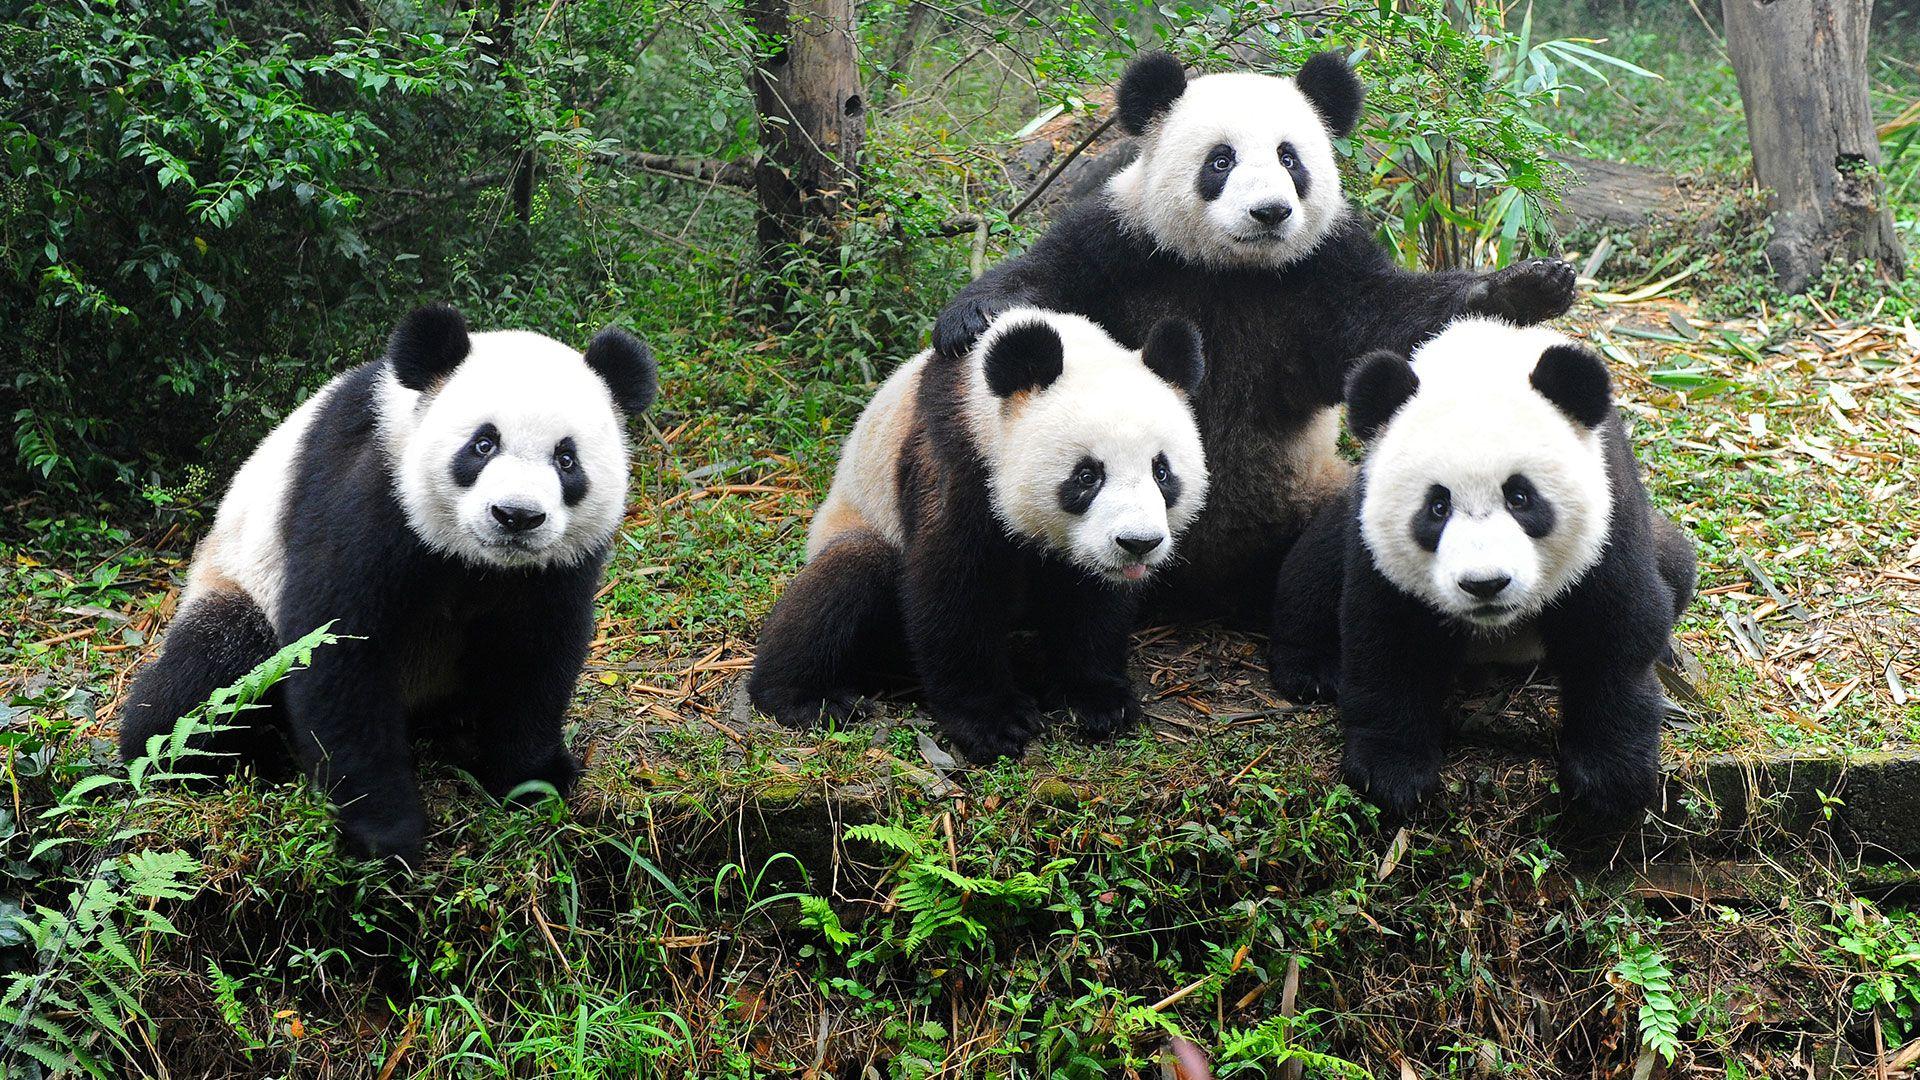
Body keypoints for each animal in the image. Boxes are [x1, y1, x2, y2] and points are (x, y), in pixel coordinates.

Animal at [117, 305, 658, 863]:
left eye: (566, 459)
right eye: (483, 444)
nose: (516, 516)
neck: (478, 560)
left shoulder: (557, 566)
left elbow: (534, 654)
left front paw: (534, 780)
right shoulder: (369, 491)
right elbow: (337, 650)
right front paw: (384, 830)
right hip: (239, 578)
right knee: (212, 673)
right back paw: (214, 756)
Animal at [747, 308, 1209, 763]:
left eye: (1161, 471)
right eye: (1087, 476)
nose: (1139, 543)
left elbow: (1093, 601)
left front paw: (1097, 700)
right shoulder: (955, 458)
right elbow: (953, 589)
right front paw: (995, 723)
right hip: (856, 527)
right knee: (848, 575)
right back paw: (804, 697)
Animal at [934, 50, 1578, 621]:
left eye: (1290, 158)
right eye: (1221, 160)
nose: (1270, 212)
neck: (1234, 270)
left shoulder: (1322, 271)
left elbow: (1390, 320)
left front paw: (1527, 288)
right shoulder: (1123, 246)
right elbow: (1048, 280)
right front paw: (969, 320)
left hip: (1310, 493)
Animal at [1267, 317, 1697, 824]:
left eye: (1520, 497)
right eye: (1437, 507)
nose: (1485, 584)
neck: (1482, 359)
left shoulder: (1610, 513)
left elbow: (1615, 631)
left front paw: (1610, 780)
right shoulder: (1376, 543)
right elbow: (1389, 641)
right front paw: (1392, 773)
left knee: (1677, 566)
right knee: (1314, 568)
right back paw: (1310, 670)